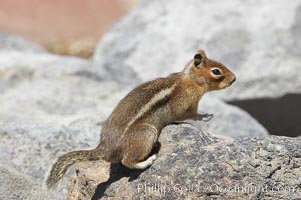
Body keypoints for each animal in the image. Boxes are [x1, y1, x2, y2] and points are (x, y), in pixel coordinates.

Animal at [45, 49, 236, 188]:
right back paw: (147, 161)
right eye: (216, 71)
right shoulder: (184, 103)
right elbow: (187, 114)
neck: (191, 80)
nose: (234, 79)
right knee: (127, 160)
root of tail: (104, 148)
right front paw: (204, 116)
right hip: (146, 133)